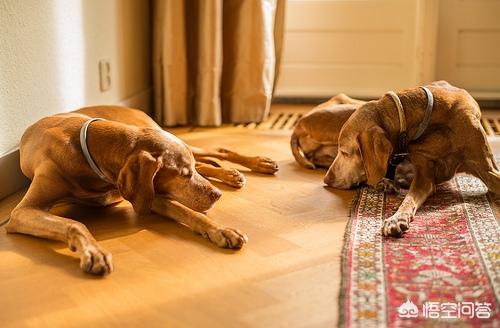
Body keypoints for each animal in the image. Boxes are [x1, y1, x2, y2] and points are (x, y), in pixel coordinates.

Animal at [4, 106, 278, 276]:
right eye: (183, 174)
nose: (217, 195)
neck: (88, 148)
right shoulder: (22, 212)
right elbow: (75, 224)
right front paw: (94, 252)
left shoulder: (145, 192)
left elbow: (191, 213)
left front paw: (221, 230)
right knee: (207, 162)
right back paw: (230, 174)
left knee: (218, 151)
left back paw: (253, 166)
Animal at [322, 81, 498, 237]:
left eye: (344, 152)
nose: (327, 179)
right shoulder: (424, 178)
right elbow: (408, 199)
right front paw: (396, 219)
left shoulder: (488, 169)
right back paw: (385, 183)